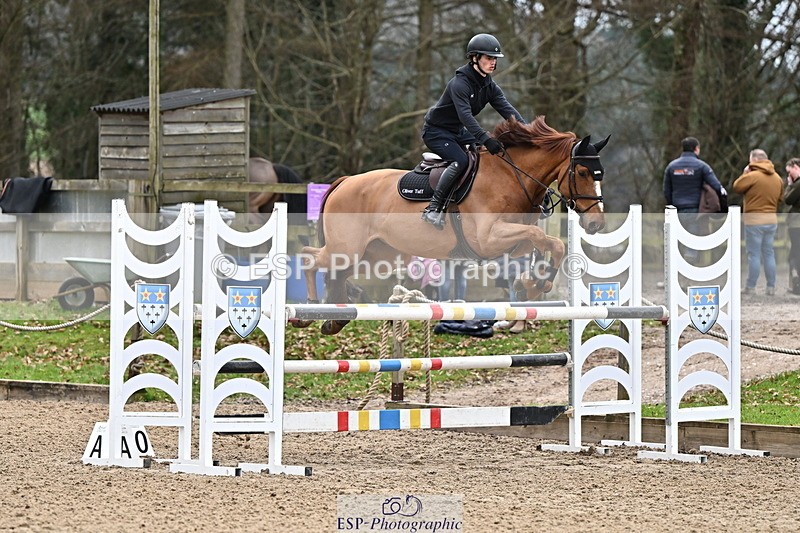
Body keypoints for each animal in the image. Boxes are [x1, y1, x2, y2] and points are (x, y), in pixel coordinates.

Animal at [300, 116, 609, 334]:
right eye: (583, 172)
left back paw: (335, 320)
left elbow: (549, 244)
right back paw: (311, 310)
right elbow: (543, 239)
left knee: (337, 274)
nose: (596, 223)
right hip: (348, 248)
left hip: (375, 253)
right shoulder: (488, 239)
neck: (511, 177)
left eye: (600, 174)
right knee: (309, 258)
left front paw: (532, 285)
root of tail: (344, 182)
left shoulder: (514, 242)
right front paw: (536, 284)